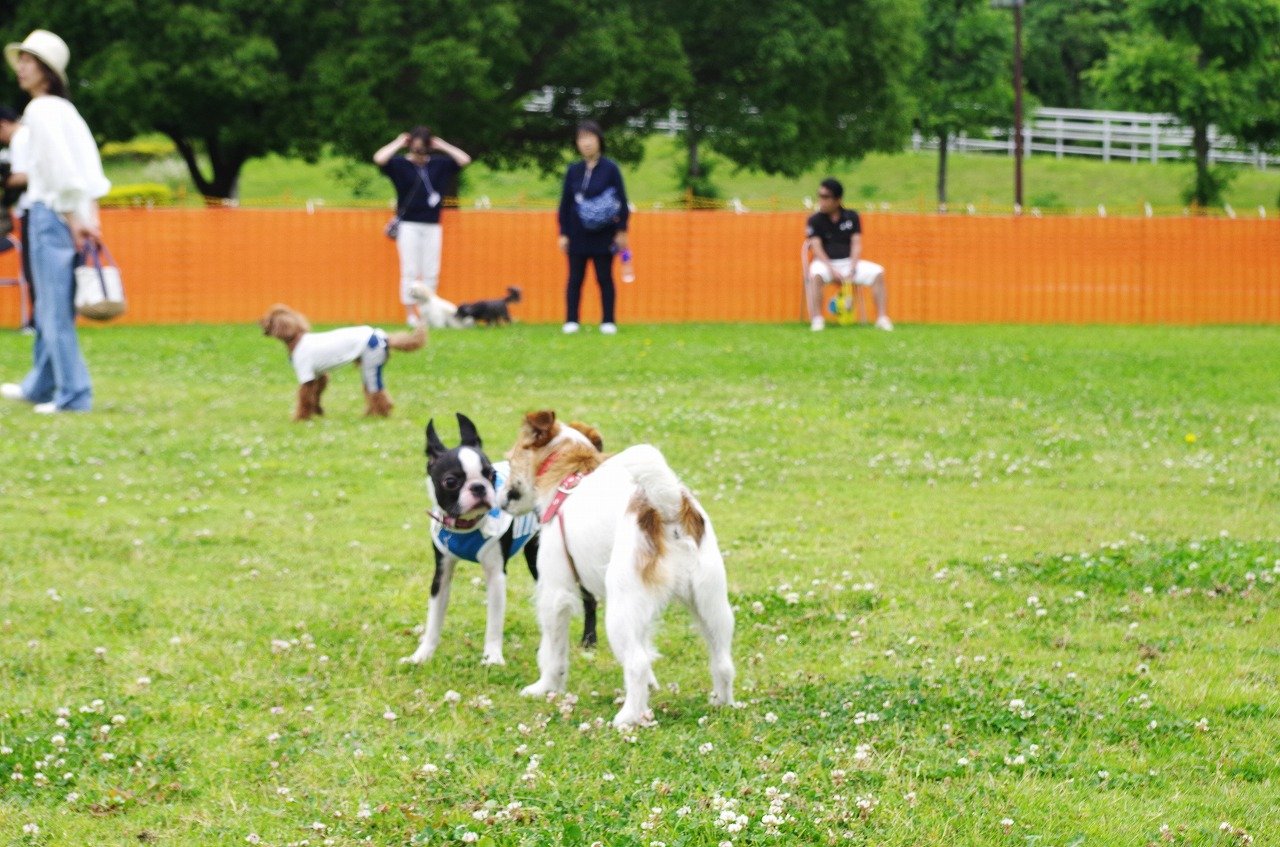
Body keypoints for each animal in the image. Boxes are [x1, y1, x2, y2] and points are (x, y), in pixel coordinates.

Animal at [262, 307, 427, 422]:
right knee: (374, 393)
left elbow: (304, 398)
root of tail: (384, 338)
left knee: (376, 393)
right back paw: (370, 414)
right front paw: (318, 412)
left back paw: (379, 415)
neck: (296, 339)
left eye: (269, 318)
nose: (259, 321)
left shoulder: (306, 375)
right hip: (368, 367)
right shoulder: (320, 376)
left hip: (371, 366)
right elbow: (315, 395)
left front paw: (300, 418)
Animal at [499, 411, 742, 731]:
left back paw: (628, 717)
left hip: (620, 610)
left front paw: (545, 688)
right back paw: (722, 704)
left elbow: (553, 653)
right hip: (711, 605)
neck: (568, 474)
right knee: (722, 662)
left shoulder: (555, 592)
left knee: (636, 663)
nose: (501, 497)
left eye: (510, 459)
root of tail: (667, 508)